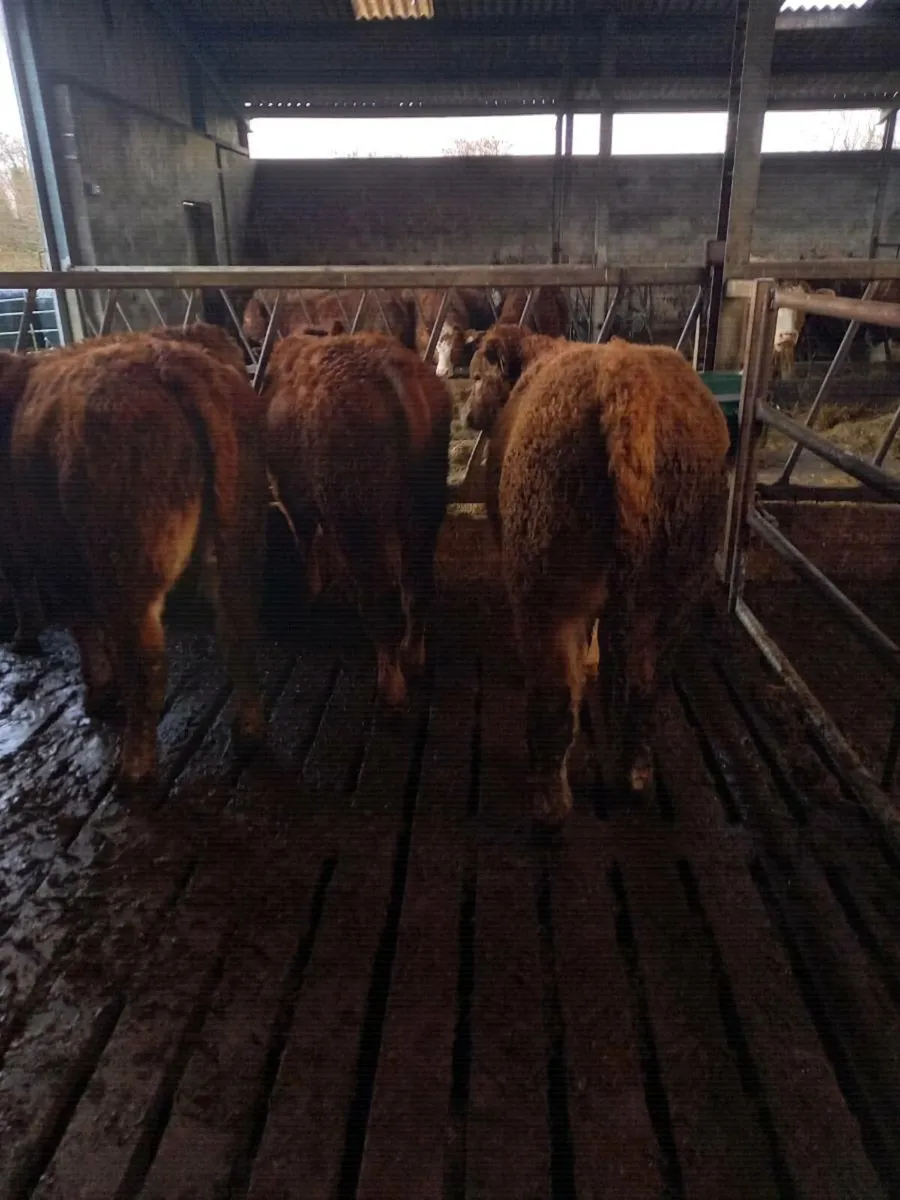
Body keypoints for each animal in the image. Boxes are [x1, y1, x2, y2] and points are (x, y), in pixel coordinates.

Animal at [0, 329, 269, 790]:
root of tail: (169, 361)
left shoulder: (44, 550)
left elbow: (70, 617)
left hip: (125, 562)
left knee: (146, 666)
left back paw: (134, 770)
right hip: (238, 534)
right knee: (240, 627)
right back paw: (249, 731)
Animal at [263, 330, 452, 707]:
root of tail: (389, 368)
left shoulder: (289, 491)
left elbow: (305, 538)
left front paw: (311, 586)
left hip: (357, 517)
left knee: (378, 601)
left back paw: (390, 686)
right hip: (424, 507)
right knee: (417, 587)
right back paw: (412, 655)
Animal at [467, 323, 729, 829]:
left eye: (474, 376)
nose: (468, 416)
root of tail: (626, 382)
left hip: (546, 582)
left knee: (553, 696)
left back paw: (549, 803)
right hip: (674, 588)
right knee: (644, 682)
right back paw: (634, 774)